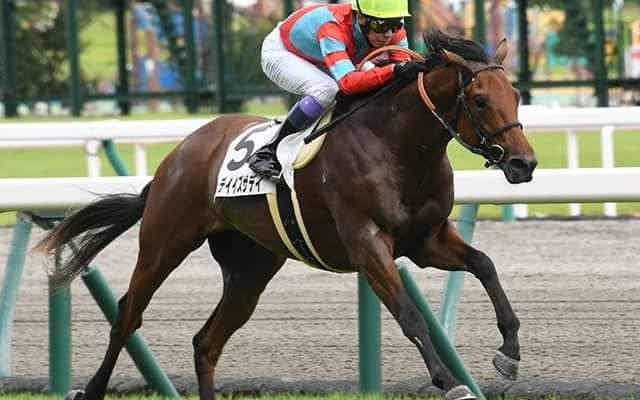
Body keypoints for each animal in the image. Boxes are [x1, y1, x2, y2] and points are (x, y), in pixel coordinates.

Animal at [37, 30, 537, 400]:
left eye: (514, 94)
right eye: (479, 99)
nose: (524, 164)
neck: (398, 145)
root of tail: (179, 153)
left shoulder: (426, 239)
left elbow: (484, 265)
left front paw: (509, 351)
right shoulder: (367, 242)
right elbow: (410, 315)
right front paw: (451, 383)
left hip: (251, 267)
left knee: (206, 343)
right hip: (166, 241)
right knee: (127, 316)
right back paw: (89, 389)